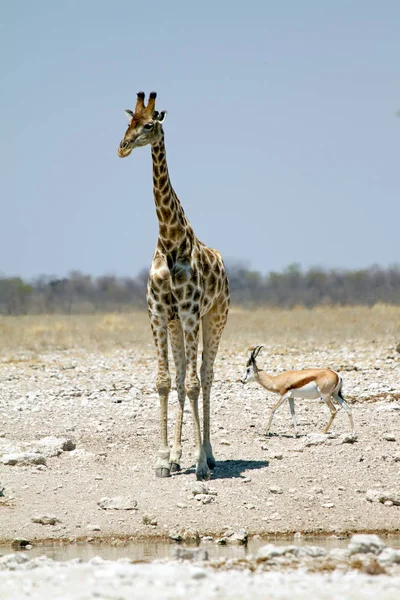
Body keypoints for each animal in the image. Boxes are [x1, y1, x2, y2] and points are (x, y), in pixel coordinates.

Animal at [117, 91, 230, 480]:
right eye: (129, 122)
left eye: (149, 125)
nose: (122, 147)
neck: (169, 239)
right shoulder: (157, 312)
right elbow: (166, 382)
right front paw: (164, 459)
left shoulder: (192, 311)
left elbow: (195, 383)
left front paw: (200, 464)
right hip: (176, 324)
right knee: (183, 379)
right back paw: (182, 455)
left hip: (214, 319)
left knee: (205, 377)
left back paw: (207, 455)